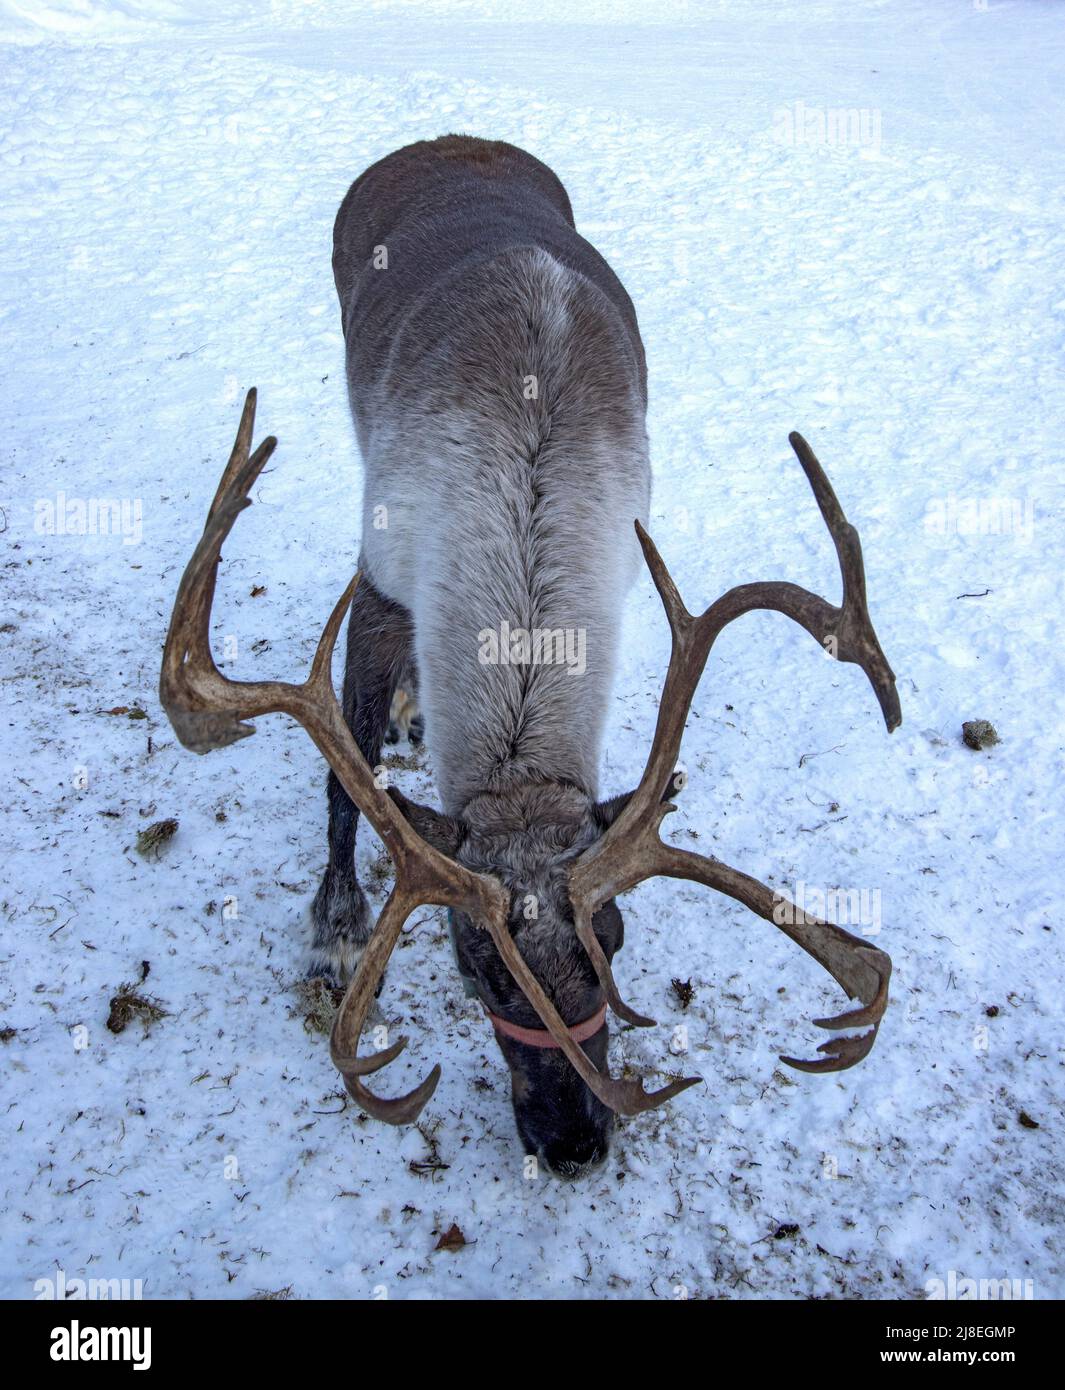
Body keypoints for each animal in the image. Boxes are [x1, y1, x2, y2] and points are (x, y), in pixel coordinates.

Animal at [160, 135, 900, 1179]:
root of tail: (449, 140)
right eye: (473, 965)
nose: (573, 1142)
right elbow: (345, 777)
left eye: (615, 942)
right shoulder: (380, 583)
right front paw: (336, 931)